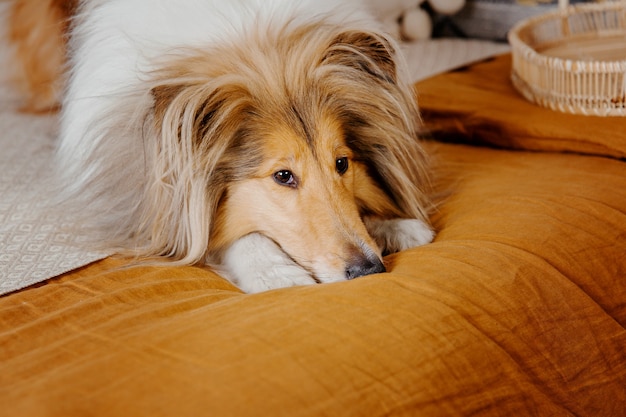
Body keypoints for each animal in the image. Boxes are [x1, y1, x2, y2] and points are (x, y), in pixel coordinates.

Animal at [8, 0, 434, 292]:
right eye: (283, 176)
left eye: (342, 163)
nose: (369, 270)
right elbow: (222, 235)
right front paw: (275, 272)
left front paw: (395, 226)